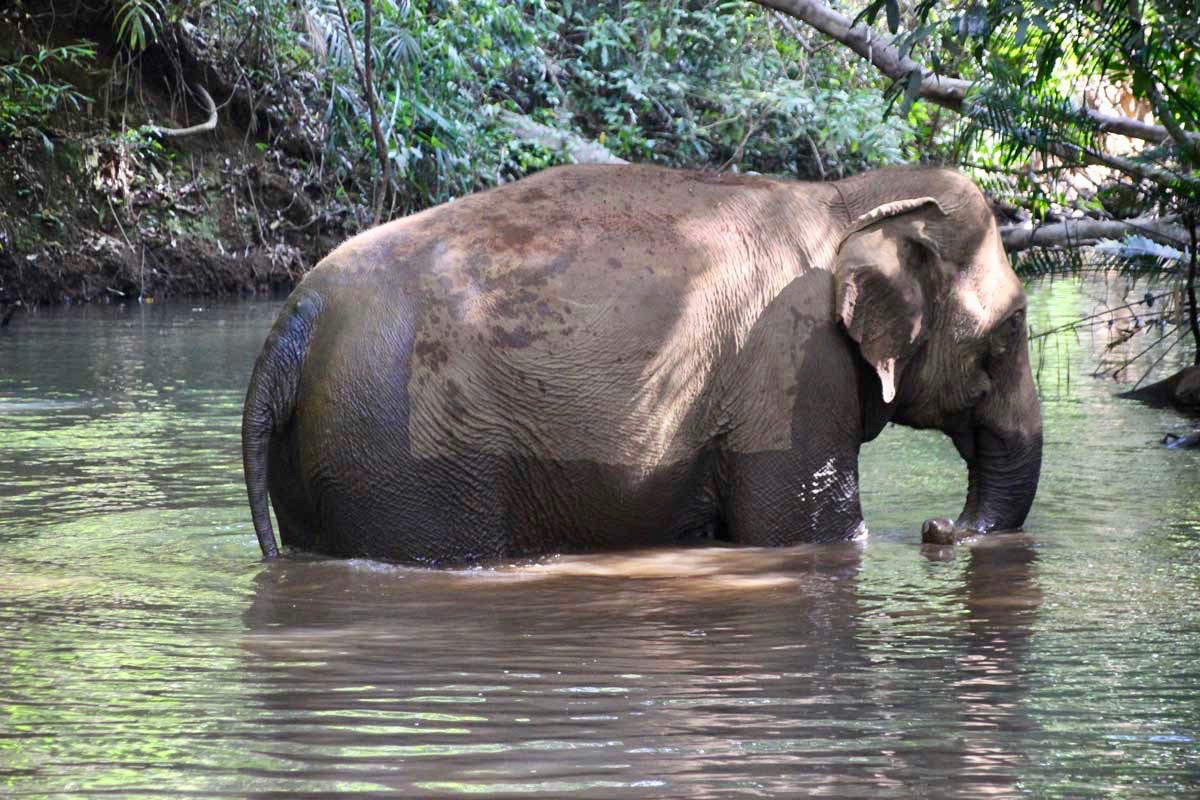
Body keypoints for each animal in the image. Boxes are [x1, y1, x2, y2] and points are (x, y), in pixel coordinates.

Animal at [241, 163, 1041, 563]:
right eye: (1013, 327)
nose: (937, 529)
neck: (846, 195)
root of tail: (295, 319)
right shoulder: (793, 368)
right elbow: (807, 534)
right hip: (408, 460)